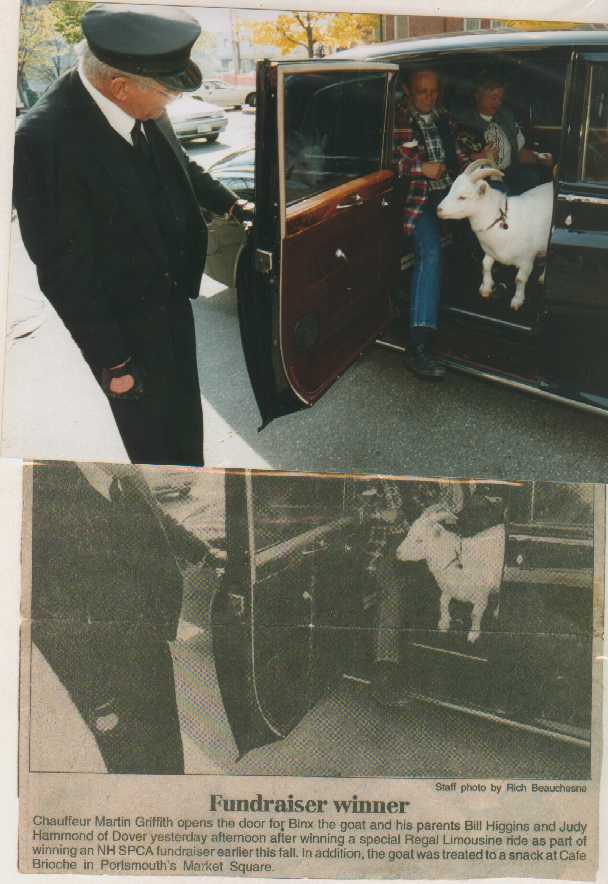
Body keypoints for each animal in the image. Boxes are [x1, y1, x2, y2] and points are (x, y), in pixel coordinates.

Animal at [395, 504, 505, 643]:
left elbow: (475, 614)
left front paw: (473, 634)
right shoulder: (448, 589)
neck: (457, 560)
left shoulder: (481, 595)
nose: (397, 553)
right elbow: (442, 602)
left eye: (419, 540)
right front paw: (444, 623)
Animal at [436, 160, 553, 310]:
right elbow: (485, 265)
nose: (438, 210)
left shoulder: (526, 260)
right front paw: (486, 288)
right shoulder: (491, 252)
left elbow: (519, 279)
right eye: (451, 189)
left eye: (463, 197)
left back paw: (543, 277)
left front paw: (517, 300)